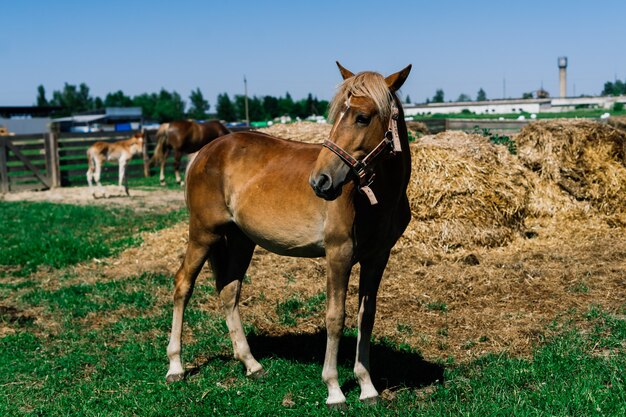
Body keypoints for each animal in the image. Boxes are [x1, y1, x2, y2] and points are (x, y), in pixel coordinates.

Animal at [163, 61, 412, 406]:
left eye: (362, 117)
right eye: (336, 115)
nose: (321, 181)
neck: (376, 198)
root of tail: (204, 152)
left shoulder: (377, 258)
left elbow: (367, 317)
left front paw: (367, 386)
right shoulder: (339, 254)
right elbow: (335, 317)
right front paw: (334, 389)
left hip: (240, 241)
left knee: (229, 291)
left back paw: (251, 364)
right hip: (204, 234)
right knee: (183, 285)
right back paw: (175, 366)